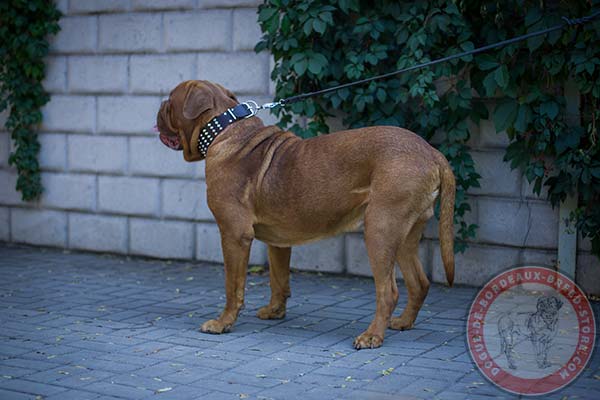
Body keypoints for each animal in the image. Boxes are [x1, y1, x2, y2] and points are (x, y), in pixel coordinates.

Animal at [156, 79, 454, 348]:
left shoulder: (234, 235)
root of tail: (432, 152)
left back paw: (372, 336)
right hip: (404, 235)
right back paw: (403, 322)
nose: (158, 107)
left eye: (170, 102)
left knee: (388, 291)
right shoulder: (278, 240)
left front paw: (223, 323)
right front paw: (275, 311)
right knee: (419, 282)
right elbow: (279, 279)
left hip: (380, 229)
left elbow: (233, 286)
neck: (224, 128)